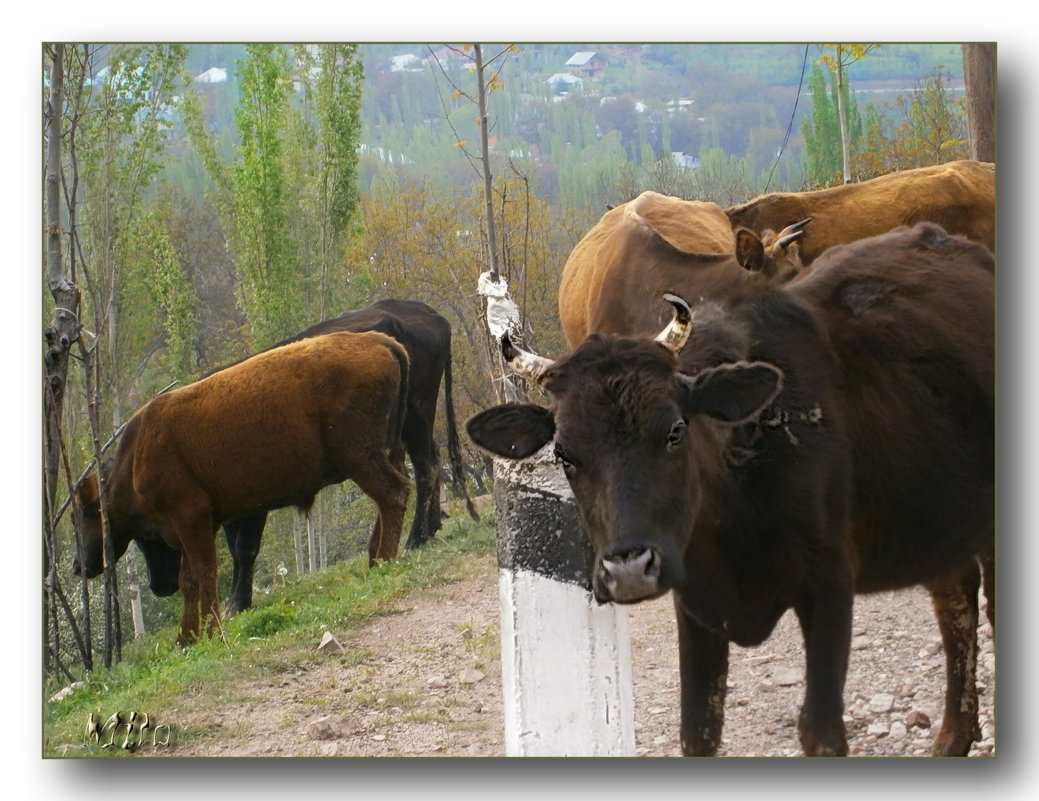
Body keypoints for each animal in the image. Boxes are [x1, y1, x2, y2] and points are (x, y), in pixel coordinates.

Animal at [73, 332, 409, 644]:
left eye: (85, 518)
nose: (79, 566)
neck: (136, 458)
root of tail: (376, 339)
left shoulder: (191, 518)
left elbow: (205, 573)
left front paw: (212, 630)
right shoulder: (196, 527)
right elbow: (189, 580)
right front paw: (186, 637)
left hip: (359, 457)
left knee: (393, 494)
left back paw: (385, 560)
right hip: (382, 452)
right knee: (391, 496)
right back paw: (376, 559)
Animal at [223, 299, 477, 615]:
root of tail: (422, 310)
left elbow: (244, 548)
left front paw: (237, 603)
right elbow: (234, 547)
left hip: (417, 411)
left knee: (425, 467)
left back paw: (415, 539)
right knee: (429, 459)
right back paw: (427, 530)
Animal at [467, 224, 993, 756]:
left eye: (675, 430)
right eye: (564, 454)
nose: (630, 571)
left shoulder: (828, 585)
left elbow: (820, 732)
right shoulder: (695, 606)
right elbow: (698, 730)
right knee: (955, 596)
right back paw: (954, 737)